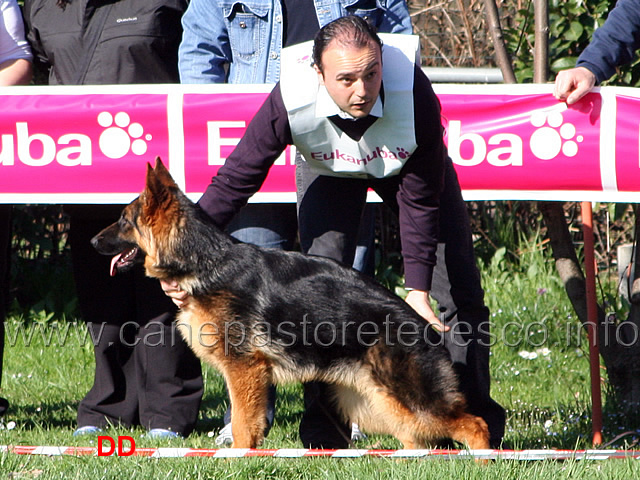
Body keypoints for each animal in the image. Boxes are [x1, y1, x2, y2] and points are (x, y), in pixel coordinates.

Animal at [91, 158, 490, 450]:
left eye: (123, 220)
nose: (93, 242)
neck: (205, 261)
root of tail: (424, 327)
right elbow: (247, 423)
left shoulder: (244, 370)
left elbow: (243, 423)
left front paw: (239, 458)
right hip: (374, 400)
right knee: (416, 438)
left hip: (408, 396)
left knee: (474, 424)